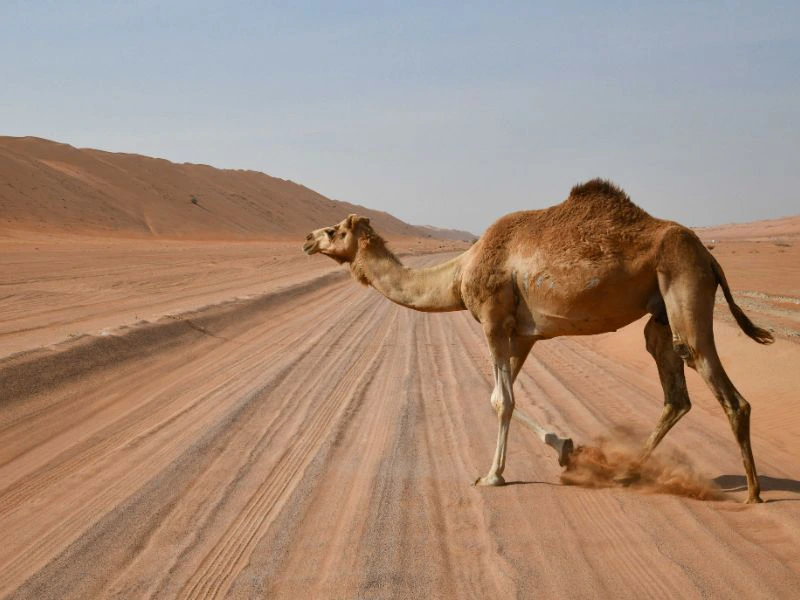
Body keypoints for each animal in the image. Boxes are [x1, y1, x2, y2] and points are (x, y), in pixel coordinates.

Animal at [303, 179, 773, 503]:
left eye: (334, 230)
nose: (307, 239)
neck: (459, 274)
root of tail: (709, 256)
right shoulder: (522, 334)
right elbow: (502, 394)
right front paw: (565, 449)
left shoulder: (493, 319)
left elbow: (500, 399)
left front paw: (492, 475)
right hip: (659, 311)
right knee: (675, 390)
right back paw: (626, 474)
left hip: (684, 282)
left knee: (724, 388)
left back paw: (753, 493)